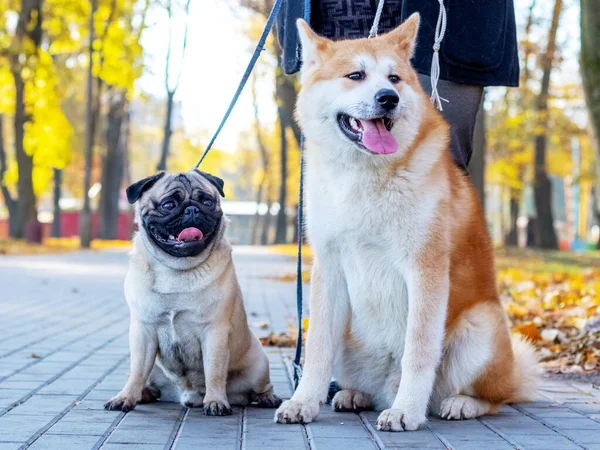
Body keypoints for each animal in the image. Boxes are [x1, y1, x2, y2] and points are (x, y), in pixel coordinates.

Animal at [105, 171, 282, 414]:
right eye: (168, 205)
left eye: (206, 201)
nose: (192, 209)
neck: (177, 269)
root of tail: (187, 394)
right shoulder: (143, 331)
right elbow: (137, 370)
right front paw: (126, 398)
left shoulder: (215, 332)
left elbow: (214, 371)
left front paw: (216, 401)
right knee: (144, 377)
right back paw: (144, 394)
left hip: (259, 364)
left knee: (261, 386)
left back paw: (267, 398)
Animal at [274, 14, 540, 430]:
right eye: (355, 75)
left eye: (394, 78)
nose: (389, 98)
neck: (365, 176)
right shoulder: (328, 266)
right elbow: (316, 349)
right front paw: (303, 402)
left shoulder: (424, 267)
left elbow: (418, 350)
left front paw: (406, 411)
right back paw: (354, 395)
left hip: (480, 327)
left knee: (495, 397)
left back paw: (460, 404)